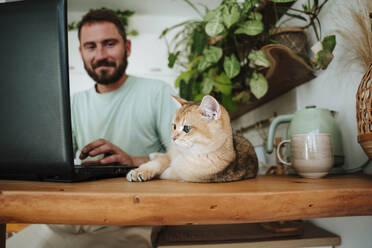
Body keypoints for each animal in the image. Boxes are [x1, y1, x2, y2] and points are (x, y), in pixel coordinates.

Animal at [126, 95, 258, 182]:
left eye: (187, 128)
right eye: (174, 126)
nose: (173, 138)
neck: (186, 154)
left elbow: (165, 170)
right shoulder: (169, 156)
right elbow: (156, 163)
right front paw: (139, 171)